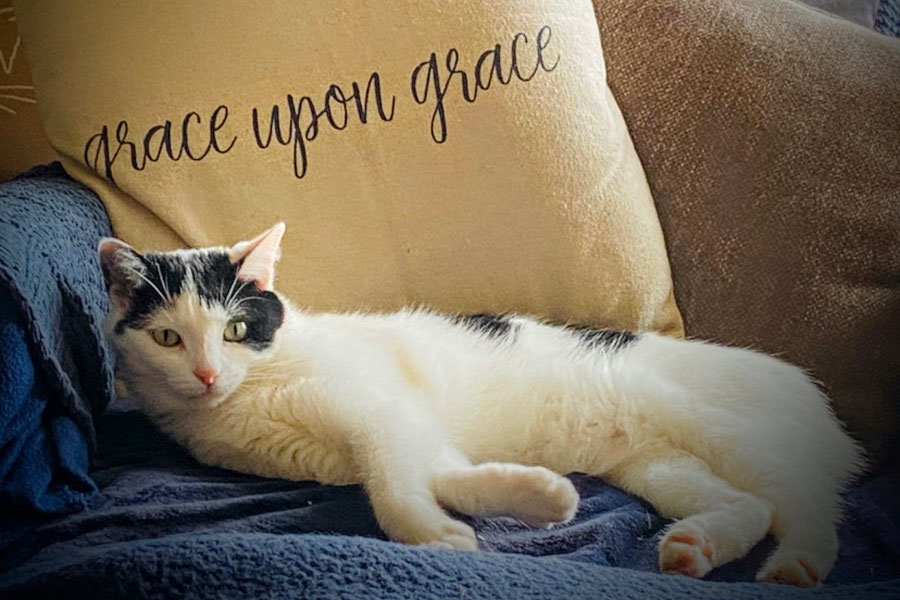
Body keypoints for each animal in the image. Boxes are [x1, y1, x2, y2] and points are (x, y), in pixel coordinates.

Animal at [98, 222, 865, 587]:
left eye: (234, 329)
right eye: (168, 338)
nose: (204, 374)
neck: (253, 393)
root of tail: (806, 389)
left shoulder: (381, 410)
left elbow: (394, 490)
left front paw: (435, 540)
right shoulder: (407, 431)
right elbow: (441, 474)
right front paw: (537, 498)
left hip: (708, 422)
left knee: (804, 497)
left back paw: (797, 563)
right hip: (659, 465)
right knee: (752, 505)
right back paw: (696, 548)